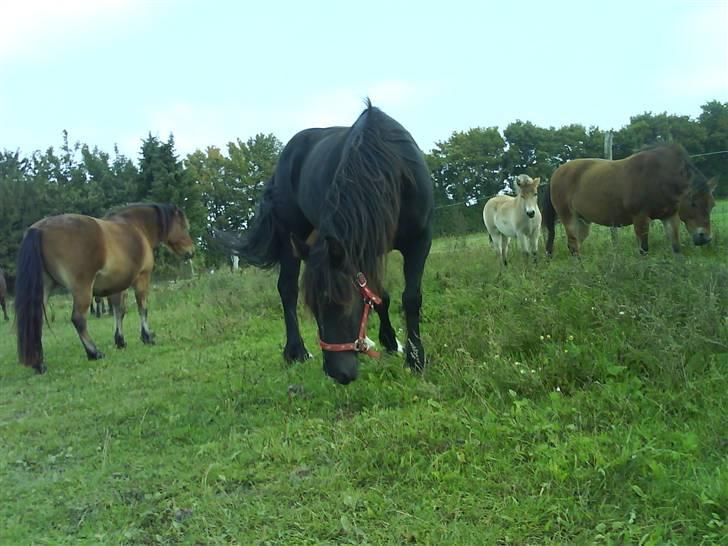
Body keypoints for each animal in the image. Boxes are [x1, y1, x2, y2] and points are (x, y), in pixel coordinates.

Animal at [14, 203, 195, 373]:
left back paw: (39, 364)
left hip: (44, 289)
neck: (136, 227)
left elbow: (119, 311)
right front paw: (147, 337)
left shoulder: (117, 286)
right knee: (78, 319)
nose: (191, 251)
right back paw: (94, 353)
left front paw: (120, 341)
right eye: (184, 226)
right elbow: (142, 308)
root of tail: (39, 229)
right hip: (82, 289)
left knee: (37, 321)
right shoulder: (142, 278)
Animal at [216, 100, 433, 385]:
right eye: (314, 308)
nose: (338, 374)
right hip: (291, 238)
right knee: (287, 288)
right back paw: (296, 352)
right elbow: (380, 296)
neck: (390, 168)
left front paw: (411, 356)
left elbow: (403, 297)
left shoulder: (415, 241)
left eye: (345, 304)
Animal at [542, 144, 716, 256]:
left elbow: (676, 248)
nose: (705, 238)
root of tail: (555, 173)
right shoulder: (640, 218)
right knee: (573, 246)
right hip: (568, 217)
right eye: (693, 203)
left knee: (576, 244)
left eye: (712, 205)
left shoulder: (670, 217)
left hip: (583, 221)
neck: (659, 177)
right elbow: (644, 249)